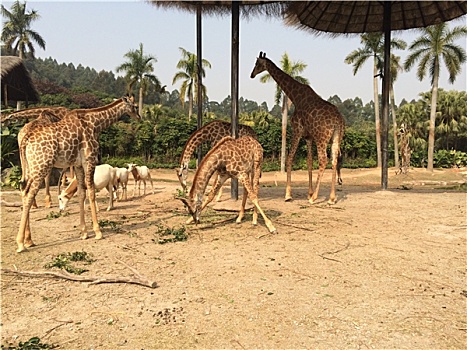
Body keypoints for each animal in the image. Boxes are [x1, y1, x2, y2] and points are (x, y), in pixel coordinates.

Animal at [15, 95, 140, 253]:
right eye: (135, 106)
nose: (139, 117)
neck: (96, 123)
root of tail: (25, 139)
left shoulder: (78, 165)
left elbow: (81, 193)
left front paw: (84, 232)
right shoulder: (89, 160)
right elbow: (91, 192)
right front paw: (98, 232)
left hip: (30, 166)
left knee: (23, 191)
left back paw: (28, 240)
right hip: (41, 165)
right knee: (29, 195)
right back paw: (21, 243)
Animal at [250, 52, 346, 205]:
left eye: (257, 63)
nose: (252, 74)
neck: (295, 97)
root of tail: (338, 120)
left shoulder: (297, 130)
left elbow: (289, 159)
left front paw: (288, 195)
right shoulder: (308, 137)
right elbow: (309, 162)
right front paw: (308, 193)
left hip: (322, 138)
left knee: (323, 161)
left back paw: (314, 198)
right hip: (337, 137)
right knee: (334, 160)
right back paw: (331, 198)